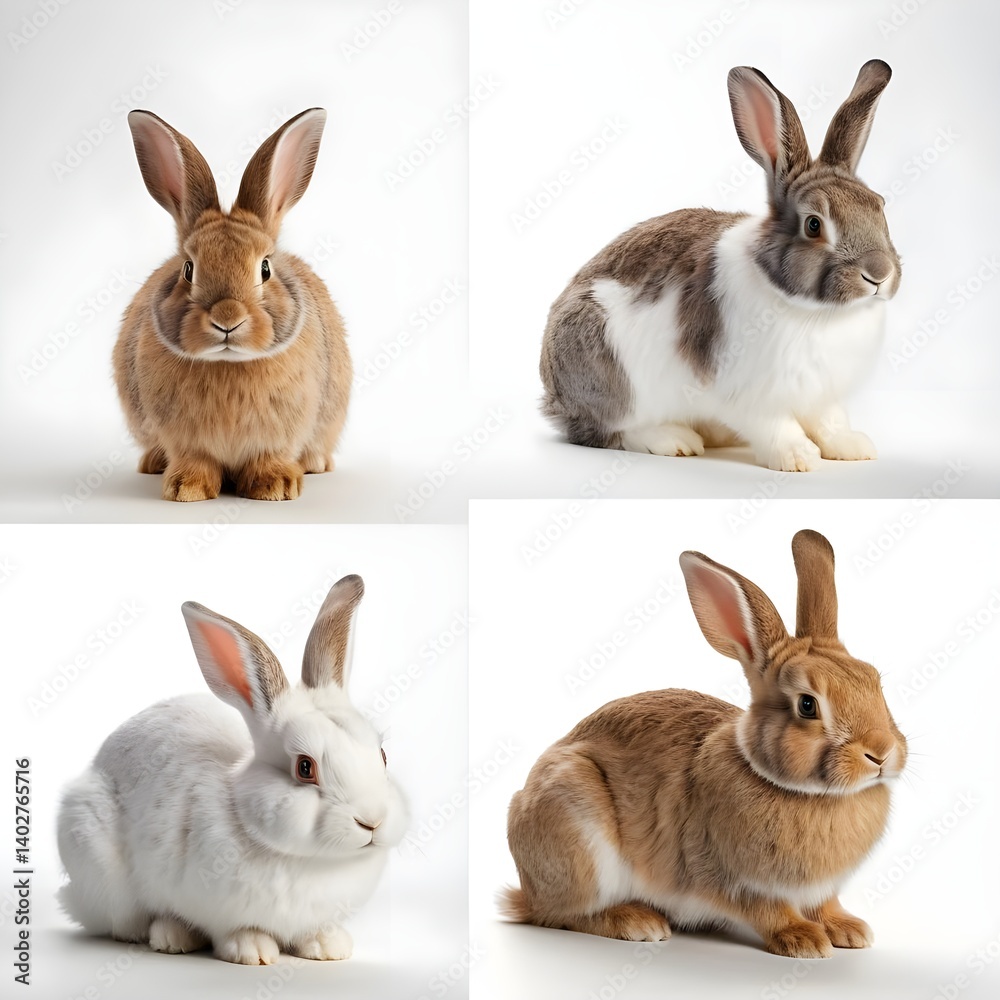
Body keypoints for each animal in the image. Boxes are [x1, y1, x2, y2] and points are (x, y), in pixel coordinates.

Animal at [56, 575, 407, 965]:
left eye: (382, 755)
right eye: (305, 767)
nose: (372, 821)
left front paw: (329, 947)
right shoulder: (213, 907)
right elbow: (234, 930)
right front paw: (252, 951)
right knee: (128, 923)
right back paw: (171, 937)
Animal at [113, 107, 351, 501]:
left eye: (265, 268)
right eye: (188, 269)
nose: (228, 319)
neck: (228, 363)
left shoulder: (279, 434)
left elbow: (270, 457)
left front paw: (276, 486)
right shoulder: (185, 439)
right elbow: (195, 460)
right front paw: (186, 488)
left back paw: (314, 463)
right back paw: (153, 463)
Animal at [501, 529, 907, 959]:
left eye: (874, 682)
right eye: (807, 705)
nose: (881, 753)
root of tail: (526, 893)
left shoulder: (821, 889)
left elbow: (825, 904)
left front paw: (849, 930)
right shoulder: (730, 876)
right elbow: (768, 911)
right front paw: (804, 940)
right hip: (577, 826)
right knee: (565, 914)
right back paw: (639, 922)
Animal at [540, 61, 901, 472]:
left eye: (880, 205)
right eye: (813, 224)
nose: (879, 274)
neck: (816, 311)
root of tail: (554, 399)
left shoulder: (820, 394)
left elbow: (831, 419)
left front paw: (854, 447)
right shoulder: (747, 392)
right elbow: (776, 426)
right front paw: (798, 457)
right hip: (609, 375)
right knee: (610, 430)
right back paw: (675, 440)